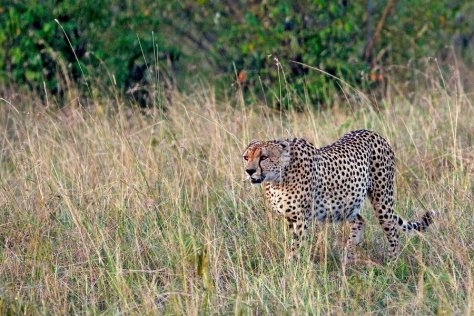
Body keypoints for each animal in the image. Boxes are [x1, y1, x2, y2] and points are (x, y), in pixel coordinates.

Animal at [243, 129, 436, 262]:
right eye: (246, 157)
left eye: (263, 157)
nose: (249, 171)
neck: (278, 178)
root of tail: (373, 133)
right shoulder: (290, 218)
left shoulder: (301, 218)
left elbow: (296, 245)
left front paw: (291, 267)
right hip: (347, 203)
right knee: (360, 221)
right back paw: (348, 254)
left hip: (382, 200)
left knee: (393, 232)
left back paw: (391, 264)